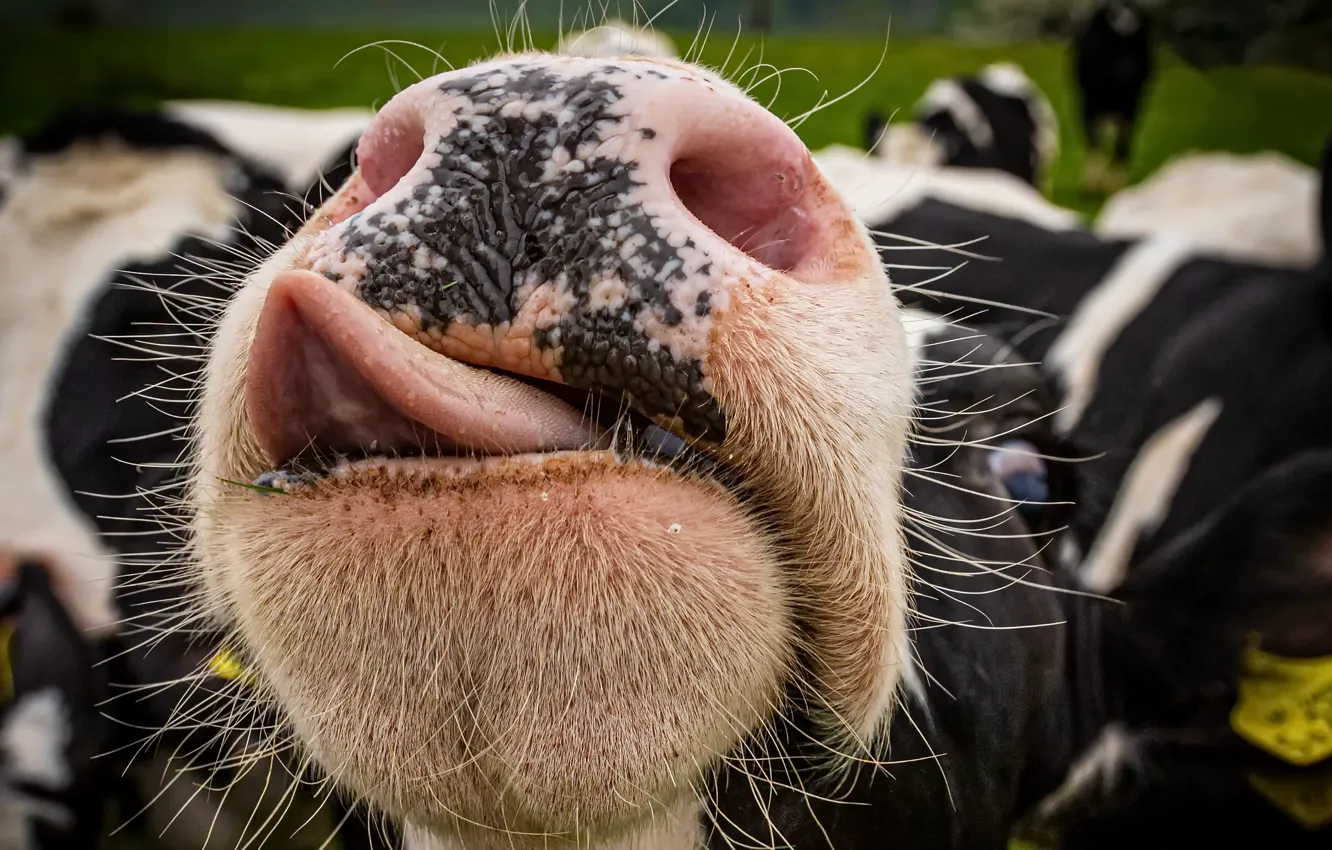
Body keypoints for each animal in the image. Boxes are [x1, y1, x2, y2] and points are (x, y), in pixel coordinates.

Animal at [1072, 0, 1155, 193]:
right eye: (1111, 45)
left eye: (1139, 47)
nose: (1129, 71)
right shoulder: (1088, 105)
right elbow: (1093, 139)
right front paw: (1092, 184)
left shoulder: (1132, 108)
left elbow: (1122, 145)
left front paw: (1115, 185)